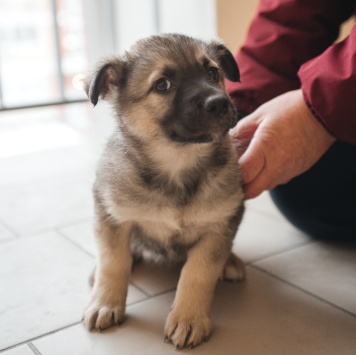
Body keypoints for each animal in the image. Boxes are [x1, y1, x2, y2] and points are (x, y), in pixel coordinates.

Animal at [83, 33, 245, 350]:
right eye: (162, 85)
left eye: (212, 72)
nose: (220, 104)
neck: (177, 164)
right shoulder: (110, 212)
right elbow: (112, 261)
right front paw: (105, 303)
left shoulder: (220, 224)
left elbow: (198, 274)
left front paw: (189, 319)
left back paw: (230, 261)